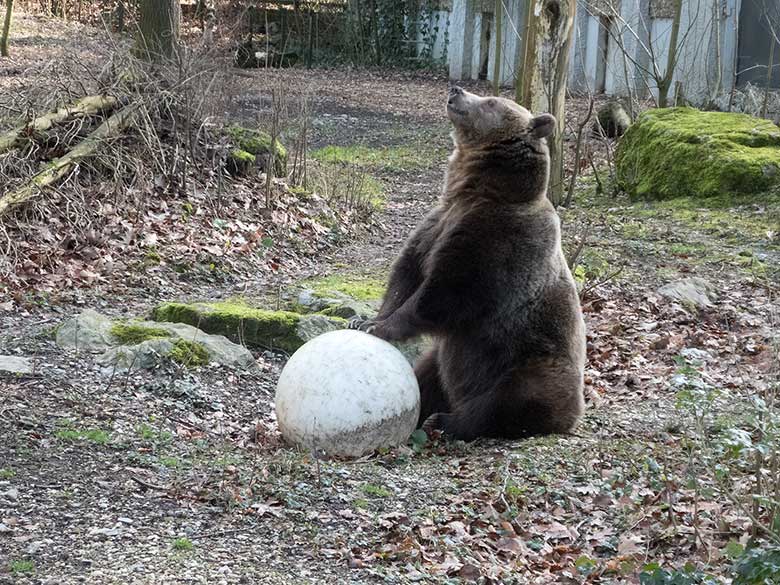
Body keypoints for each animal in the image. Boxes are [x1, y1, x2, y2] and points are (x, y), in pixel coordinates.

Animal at [354, 86, 584, 440]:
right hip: (444, 358)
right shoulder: (436, 223)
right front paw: (366, 320)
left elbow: (445, 292)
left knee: (506, 401)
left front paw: (381, 326)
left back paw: (446, 421)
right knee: (428, 374)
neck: (473, 189)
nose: (456, 89)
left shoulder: (495, 238)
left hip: (527, 362)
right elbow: (407, 273)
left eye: (490, 102)